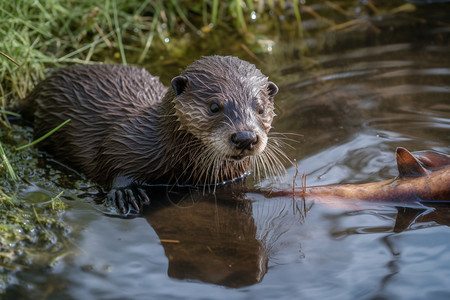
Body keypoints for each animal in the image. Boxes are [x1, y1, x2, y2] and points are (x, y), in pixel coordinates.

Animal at [21, 55, 286, 216]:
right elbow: (109, 159)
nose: (245, 137)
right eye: (214, 106)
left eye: (260, 107)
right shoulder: (122, 140)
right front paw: (126, 192)